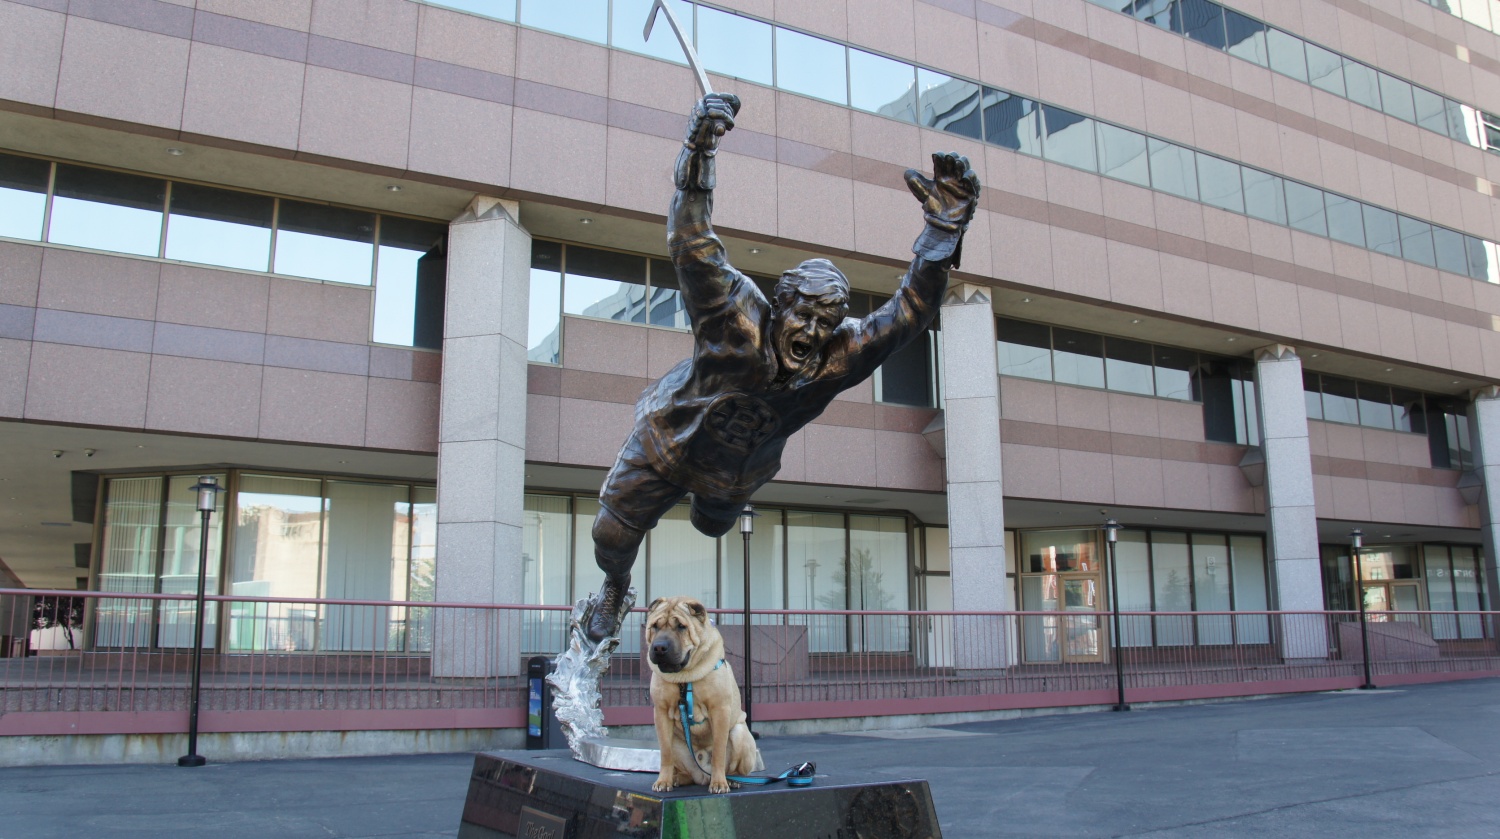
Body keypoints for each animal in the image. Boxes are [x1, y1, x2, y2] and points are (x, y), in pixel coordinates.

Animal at [645, 597, 762, 792]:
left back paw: (731, 780)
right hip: (678, 743)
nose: (660, 647)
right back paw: (678, 778)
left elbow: (718, 752)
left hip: (740, 733)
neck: (684, 677)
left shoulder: (719, 710)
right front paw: (663, 781)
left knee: (736, 768)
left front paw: (719, 783)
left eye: (681, 626)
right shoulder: (661, 712)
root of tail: (702, 776)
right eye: (655, 626)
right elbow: (666, 753)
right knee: (685, 771)